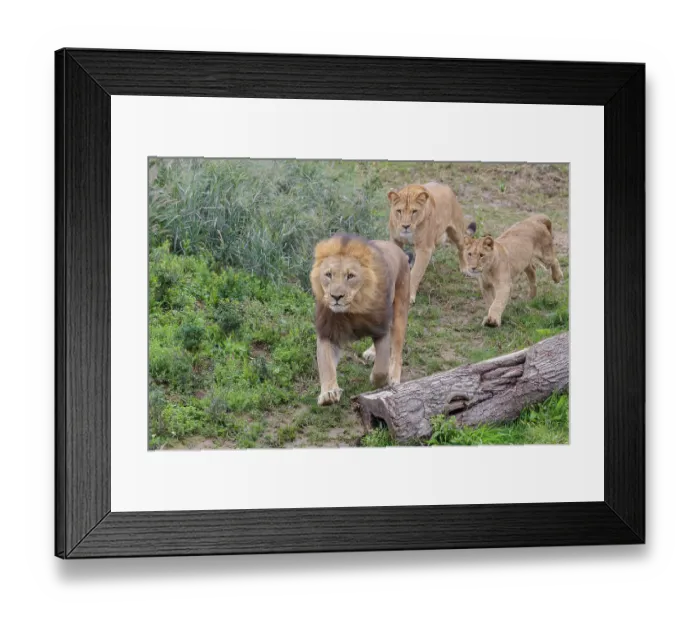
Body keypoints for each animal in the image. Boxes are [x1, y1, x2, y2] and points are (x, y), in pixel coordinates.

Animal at [310, 234, 411, 406]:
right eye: (328, 274)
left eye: (350, 276)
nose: (336, 296)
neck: (352, 310)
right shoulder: (328, 332)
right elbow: (326, 365)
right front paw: (329, 393)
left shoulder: (380, 327)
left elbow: (381, 367)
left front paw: (379, 380)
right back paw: (371, 352)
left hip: (400, 310)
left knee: (397, 351)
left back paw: (394, 377)